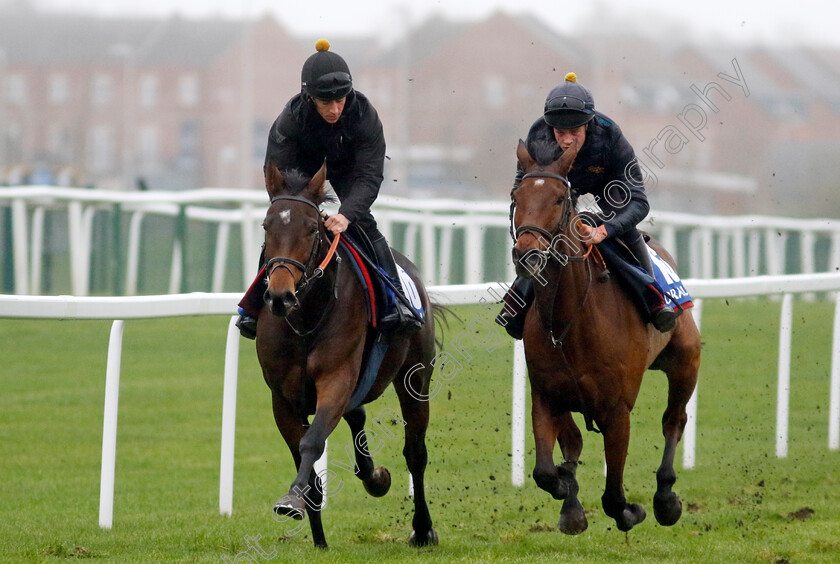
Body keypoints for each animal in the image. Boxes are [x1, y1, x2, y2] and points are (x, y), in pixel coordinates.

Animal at [256, 162, 440, 548]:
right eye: (266, 225)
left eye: (312, 229)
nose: (280, 296)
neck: (307, 317)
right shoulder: (283, 398)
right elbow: (305, 460)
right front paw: (317, 536)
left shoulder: (336, 379)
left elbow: (312, 442)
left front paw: (292, 499)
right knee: (357, 415)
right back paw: (373, 476)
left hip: (415, 377)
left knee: (415, 453)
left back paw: (421, 528)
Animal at [512, 139, 704, 536]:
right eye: (517, 196)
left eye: (559, 198)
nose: (527, 255)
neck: (570, 321)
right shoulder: (547, 395)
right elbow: (546, 470)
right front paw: (567, 494)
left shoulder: (617, 410)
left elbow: (613, 494)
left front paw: (632, 511)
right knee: (574, 440)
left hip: (685, 362)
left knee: (673, 420)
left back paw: (666, 498)